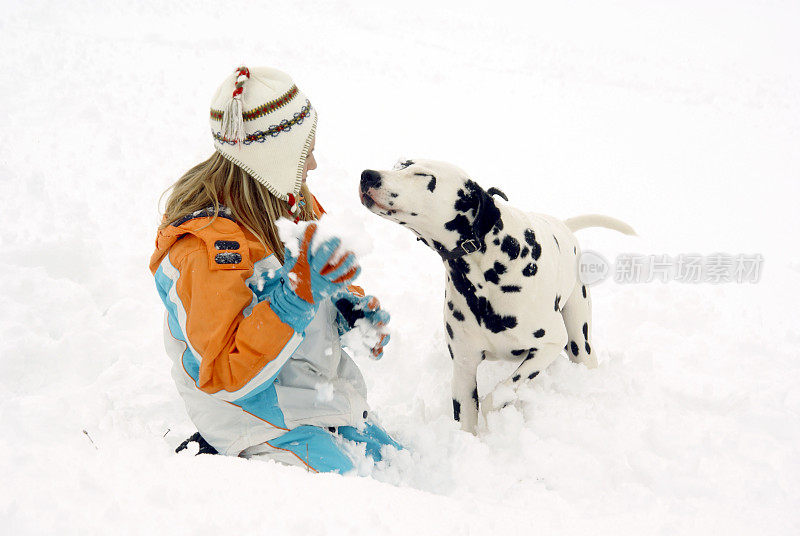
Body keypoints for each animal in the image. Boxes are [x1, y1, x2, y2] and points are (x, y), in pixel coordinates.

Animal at [360, 158, 636, 432]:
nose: (368, 175)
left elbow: (497, 395)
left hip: (579, 341)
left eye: (423, 176)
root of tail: (564, 226)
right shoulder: (464, 368)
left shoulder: (550, 344)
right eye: (400, 164)